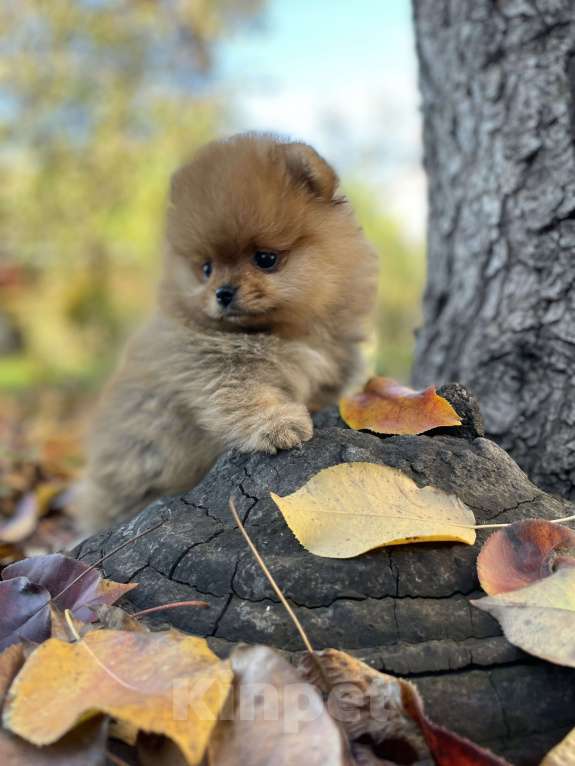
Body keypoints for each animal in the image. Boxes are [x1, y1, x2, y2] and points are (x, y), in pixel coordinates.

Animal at [79, 134, 380, 536]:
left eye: (265, 259)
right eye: (206, 268)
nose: (222, 292)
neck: (286, 332)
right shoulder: (216, 364)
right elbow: (242, 397)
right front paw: (279, 425)